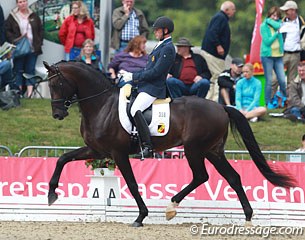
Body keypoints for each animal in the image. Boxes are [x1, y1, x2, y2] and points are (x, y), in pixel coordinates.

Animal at [42, 61, 294, 228]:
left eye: (58, 84)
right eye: (50, 86)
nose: (57, 114)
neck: (102, 104)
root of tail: (222, 106)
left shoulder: (118, 153)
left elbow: (132, 184)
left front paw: (140, 217)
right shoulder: (96, 150)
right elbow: (62, 159)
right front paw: (52, 194)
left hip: (194, 149)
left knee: (201, 176)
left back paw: (171, 207)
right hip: (212, 151)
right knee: (233, 177)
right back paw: (248, 217)